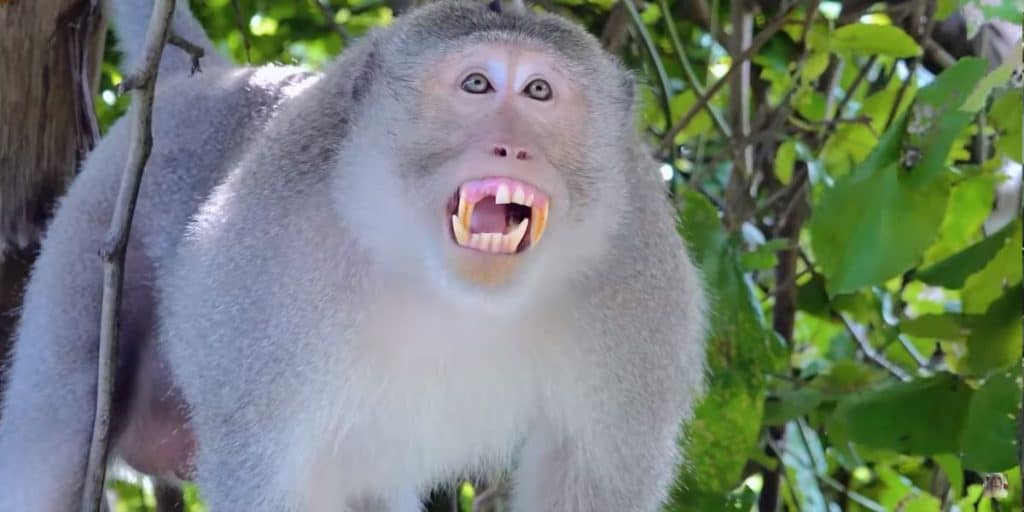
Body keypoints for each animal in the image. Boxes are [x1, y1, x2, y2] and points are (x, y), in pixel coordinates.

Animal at [0, 1, 708, 511]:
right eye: (478, 84)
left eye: (538, 92)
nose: (512, 147)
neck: (453, 289)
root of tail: (212, 78)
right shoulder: (267, 276)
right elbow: (265, 473)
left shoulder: (641, 291)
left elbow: (591, 477)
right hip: (92, 232)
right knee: (58, 420)